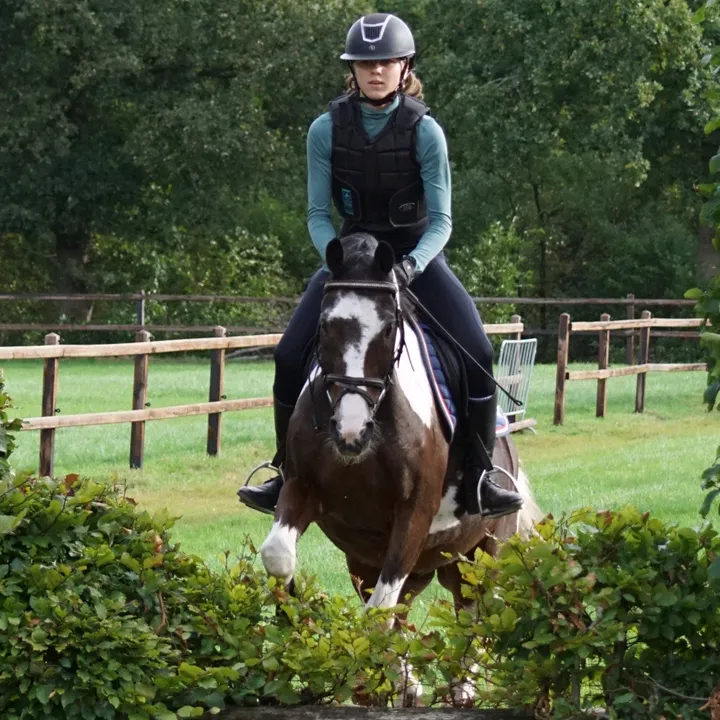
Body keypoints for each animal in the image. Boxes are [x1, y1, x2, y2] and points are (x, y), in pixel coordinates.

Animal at [258, 233, 542, 702]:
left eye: (390, 328)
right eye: (324, 327)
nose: (351, 432)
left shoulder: (414, 513)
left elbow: (378, 614)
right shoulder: (300, 489)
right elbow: (279, 558)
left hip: (480, 554)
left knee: (472, 612)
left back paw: (459, 687)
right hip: (378, 560)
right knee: (405, 604)